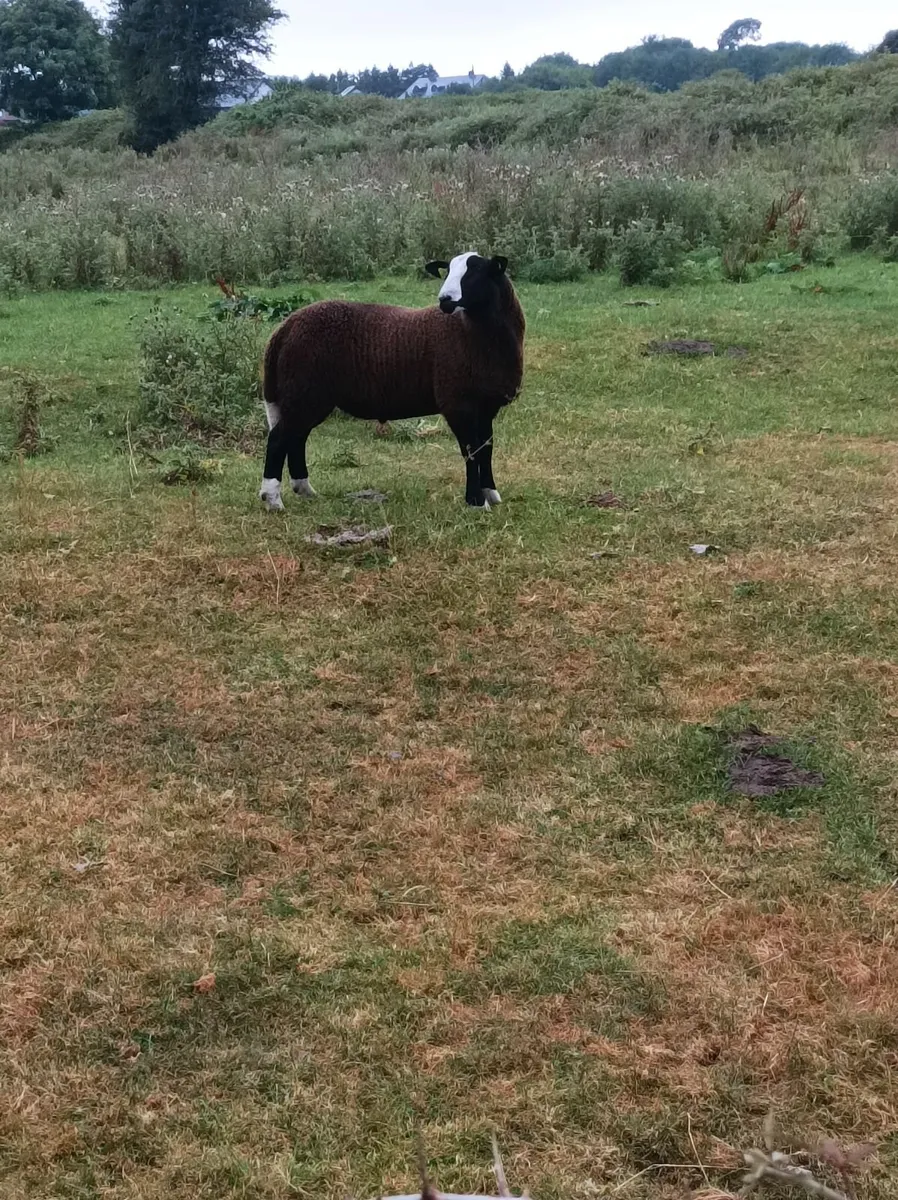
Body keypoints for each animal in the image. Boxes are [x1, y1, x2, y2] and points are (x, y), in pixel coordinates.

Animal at [258, 251, 525, 511]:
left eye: (476, 270)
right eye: (447, 271)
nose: (445, 299)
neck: (471, 332)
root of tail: (284, 329)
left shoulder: (487, 404)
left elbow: (486, 448)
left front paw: (491, 494)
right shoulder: (457, 401)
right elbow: (471, 451)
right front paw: (476, 502)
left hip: (306, 395)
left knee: (296, 438)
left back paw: (305, 490)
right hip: (305, 391)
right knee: (279, 438)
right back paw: (272, 499)